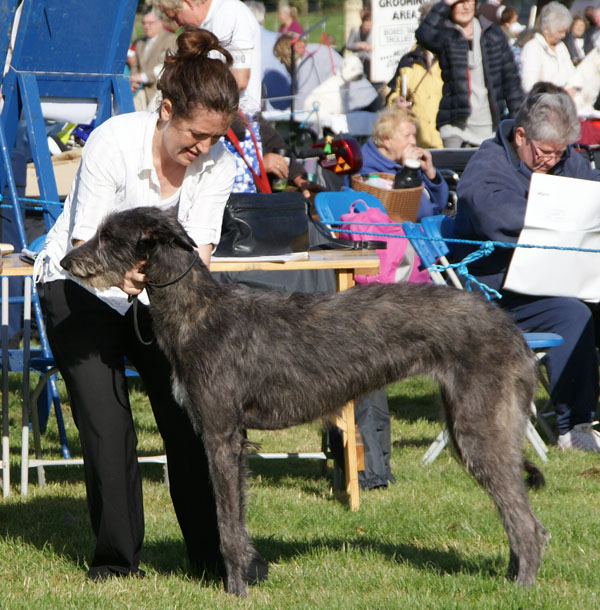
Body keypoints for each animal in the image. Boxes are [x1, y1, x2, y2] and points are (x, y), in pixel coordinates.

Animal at [61, 204, 548, 592]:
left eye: (109, 236)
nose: (64, 259)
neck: (198, 311)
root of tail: (512, 330)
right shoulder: (229, 437)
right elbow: (235, 516)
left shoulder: (220, 435)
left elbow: (226, 521)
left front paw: (236, 589)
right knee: (517, 515)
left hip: (478, 429)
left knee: (527, 523)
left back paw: (520, 588)